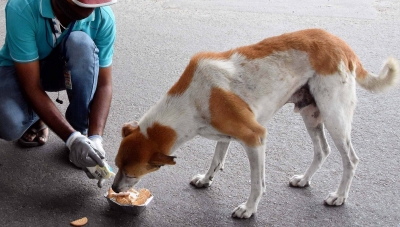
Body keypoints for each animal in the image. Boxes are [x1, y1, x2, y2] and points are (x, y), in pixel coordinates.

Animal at [111, 28, 398, 218]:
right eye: (117, 165)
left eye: (132, 173)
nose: (113, 188)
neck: (192, 98)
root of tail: (342, 44)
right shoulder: (224, 134)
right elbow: (216, 160)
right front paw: (205, 179)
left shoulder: (255, 137)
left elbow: (257, 183)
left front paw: (249, 209)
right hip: (311, 113)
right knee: (322, 150)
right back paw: (304, 180)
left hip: (334, 117)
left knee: (351, 159)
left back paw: (339, 196)